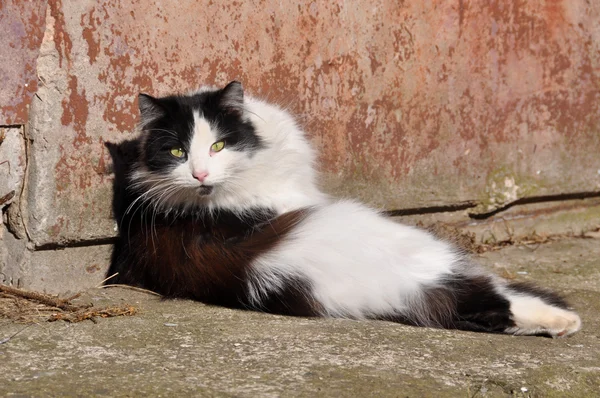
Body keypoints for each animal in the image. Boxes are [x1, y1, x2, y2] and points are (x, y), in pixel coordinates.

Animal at [108, 82, 580, 338]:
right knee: (488, 292)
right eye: (177, 151)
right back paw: (564, 319)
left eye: (219, 145)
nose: (201, 174)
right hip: (412, 247)